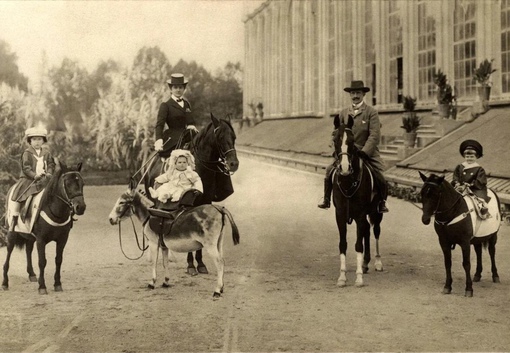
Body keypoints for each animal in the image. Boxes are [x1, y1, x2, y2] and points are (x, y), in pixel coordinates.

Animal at [2, 160, 85, 292]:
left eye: (83, 183)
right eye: (67, 183)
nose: (80, 207)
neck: (55, 212)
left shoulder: (62, 239)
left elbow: (58, 260)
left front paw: (57, 284)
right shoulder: (41, 240)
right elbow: (42, 261)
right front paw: (42, 286)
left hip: (30, 236)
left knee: (28, 250)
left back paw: (31, 274)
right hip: (12, 233)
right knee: (9, 252)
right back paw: (5, 282)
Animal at [142, 114, 240, 274]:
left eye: (234, 137)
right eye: (219, 137)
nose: (234, 164)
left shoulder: (205, 201)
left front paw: (200, 264)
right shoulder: (189, 203)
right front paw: (190, 265)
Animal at [330, 115, 382, 286]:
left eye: (352, 140)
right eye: (335, 139)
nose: (345, 168)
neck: (348, 182)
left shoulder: (360, 215)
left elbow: (358, 245)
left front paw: (358, 278)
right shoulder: (340, 215)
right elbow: (343, 244)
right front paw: (342, 276)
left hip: (377, 213)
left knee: (375, 230)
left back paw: (377, 262)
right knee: (366, 230)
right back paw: (365, 263)